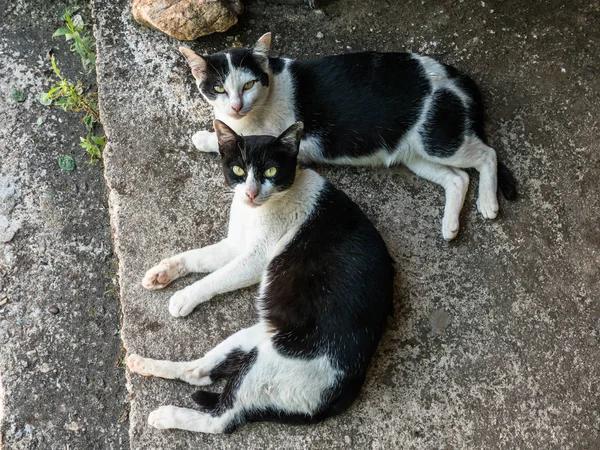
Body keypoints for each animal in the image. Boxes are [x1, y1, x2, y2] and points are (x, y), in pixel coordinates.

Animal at [127, 121, 394, 434]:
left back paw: (166, 416)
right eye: (238, 170)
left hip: (265, 369)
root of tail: (348, 387)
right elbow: (198, 257)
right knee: (198, 372)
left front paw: (184, 297)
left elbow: (217, 277)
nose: (251, 193)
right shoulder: (235, 244)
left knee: (222, 418)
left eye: (270, 172)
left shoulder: (255, 258)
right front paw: (162, 273)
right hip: (248, 339)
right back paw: (145, 365)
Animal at [178, 34, 516, 243]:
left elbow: (239, 140)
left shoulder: (282, 142)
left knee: (487, 155)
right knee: (458, 178)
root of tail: (453, 74)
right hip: (416, 155)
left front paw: (206, 137)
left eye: (248, 85)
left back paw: (488, 202)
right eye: (219, 89)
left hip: (439, 141)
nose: (236, 105)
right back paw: (450, 226)